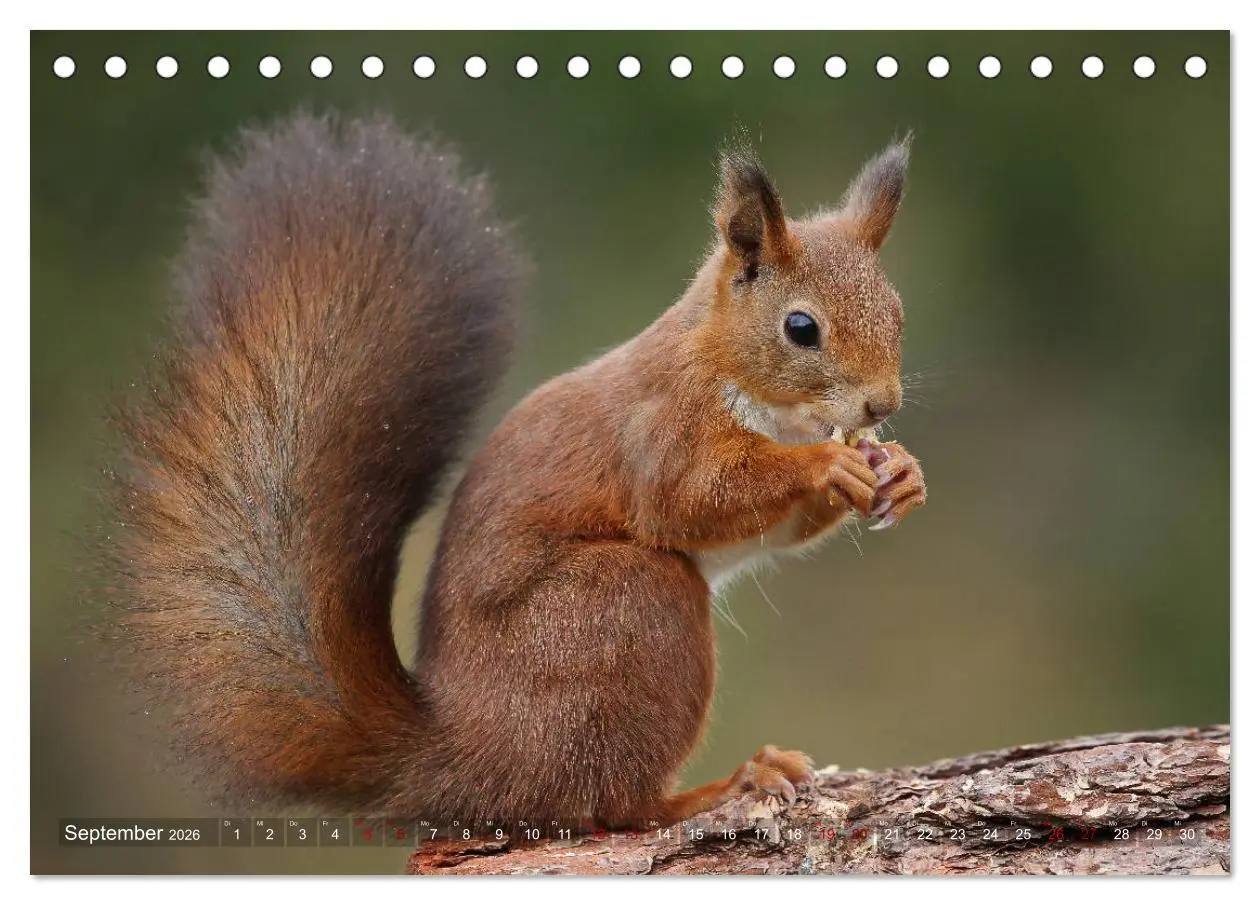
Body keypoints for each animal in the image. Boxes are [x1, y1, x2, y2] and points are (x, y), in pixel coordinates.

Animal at [108, 111, 926, 827]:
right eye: (801, 328)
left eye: (897, 310)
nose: (882, 403)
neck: (744, 381)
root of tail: (463, 758)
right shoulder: (662, 428)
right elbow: (690, 498)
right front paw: (828, 463)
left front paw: (899, 473)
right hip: (628, 608)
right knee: (615, 804)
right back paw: (726, 786)